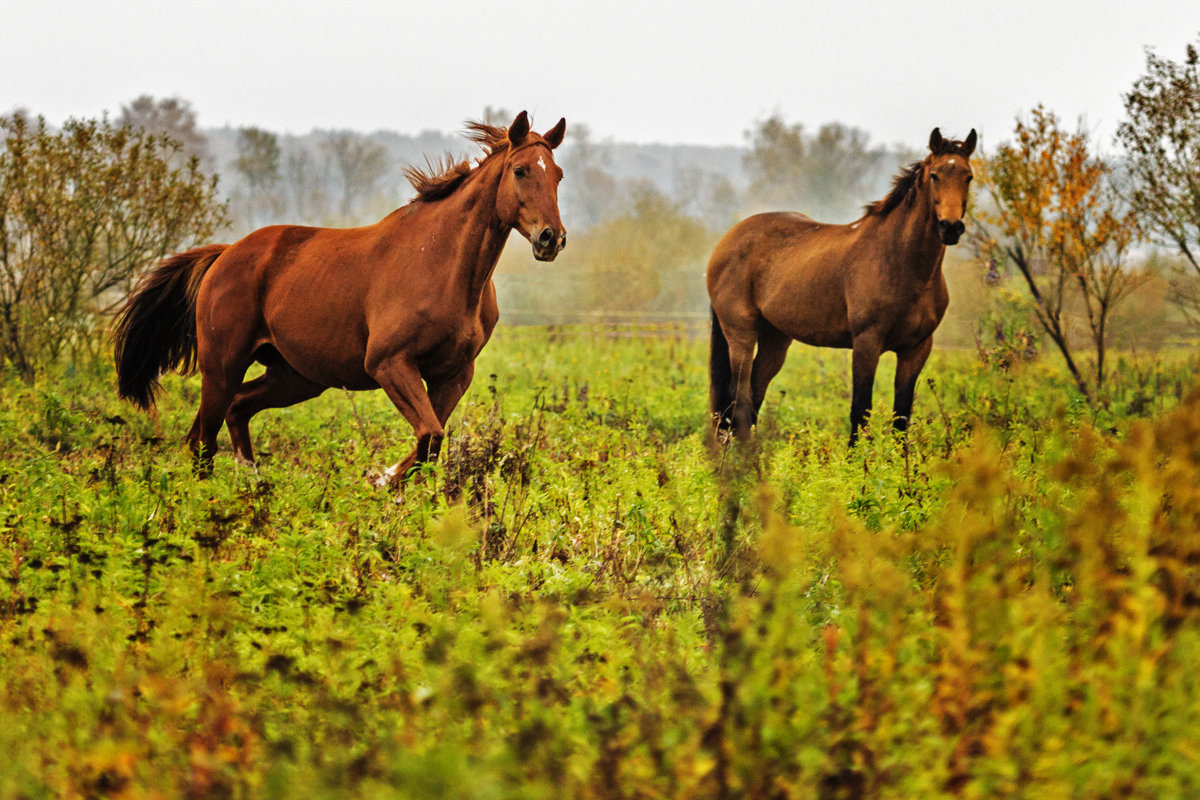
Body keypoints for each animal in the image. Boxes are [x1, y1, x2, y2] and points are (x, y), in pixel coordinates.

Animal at [114, 107, 564, 482]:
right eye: (520, 170)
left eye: (557, 174)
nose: (551, 239)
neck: (442, 266)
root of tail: (225, 255)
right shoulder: (389, 364)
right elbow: (428, 435)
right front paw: (381, 479)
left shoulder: (453, 374)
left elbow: (431, 443)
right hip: (222, 366)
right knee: (204, 439)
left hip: (293, 377)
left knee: (234, 411)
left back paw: (253, 485)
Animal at [705, 128, 979, 448]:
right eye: (935, 175)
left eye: (968, 176)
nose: (951, 227)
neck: (900, 261)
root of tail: (727, 240)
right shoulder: (866, 344)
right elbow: (860, 411)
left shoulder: (916, 350)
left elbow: (901, 417)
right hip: (741, 335)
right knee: (740, 398)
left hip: (775, 338)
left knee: (753, 395)